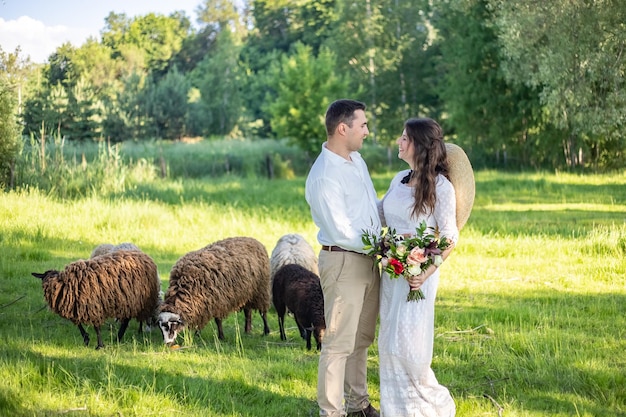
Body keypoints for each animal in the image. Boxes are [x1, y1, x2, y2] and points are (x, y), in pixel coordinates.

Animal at [31, 249, 161, 350]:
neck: (62, 285)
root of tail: (146, 256)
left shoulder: (92, 306)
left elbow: (96, 328)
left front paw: (99, 345)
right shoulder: (78, 306)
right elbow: (78, 324)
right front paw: (86, 339)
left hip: (138, 300)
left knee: (126, 321)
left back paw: (117, 338)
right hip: (129, 301)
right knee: (126, 319)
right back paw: (118, 338)